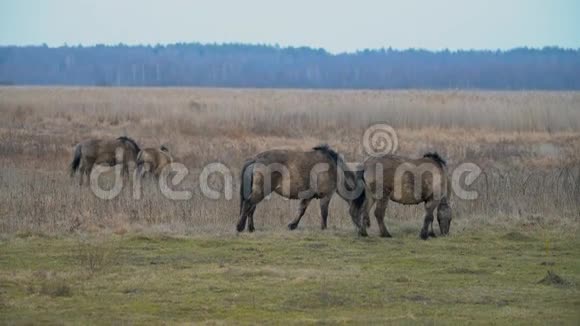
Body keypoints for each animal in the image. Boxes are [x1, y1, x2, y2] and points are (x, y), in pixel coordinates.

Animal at [234, 145, 362, 232]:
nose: (362, 231)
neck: (335, 169)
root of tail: (255, 159)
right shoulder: (326, 196)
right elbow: (324, 212)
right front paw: (324, 228)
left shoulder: (308, 196)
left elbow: (301, 210)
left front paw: (292, 225)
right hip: (261, 191)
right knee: (248, 204)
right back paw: (240, 227)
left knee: (251, 207)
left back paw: (251, 228)